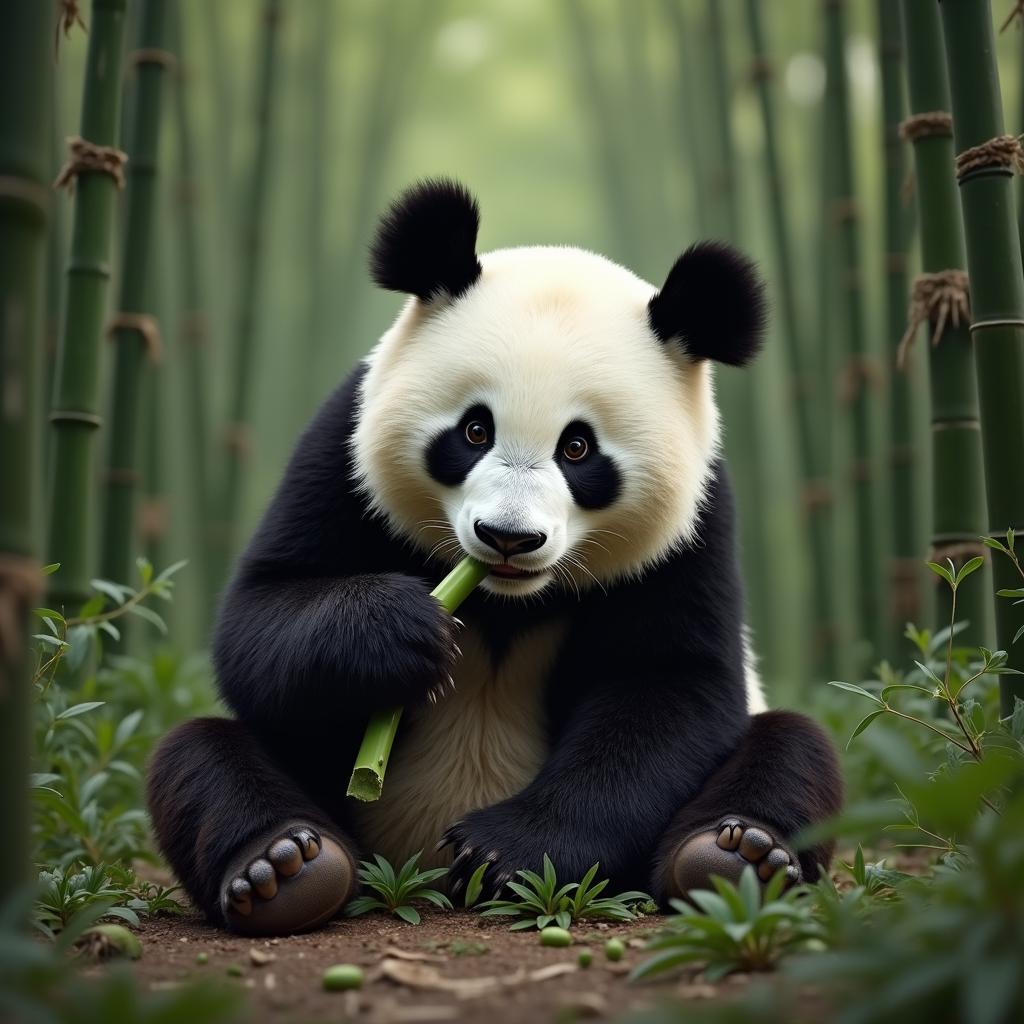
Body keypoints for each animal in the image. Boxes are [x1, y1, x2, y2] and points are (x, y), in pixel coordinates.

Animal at [148, 179, 842, 936]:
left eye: (578, 448)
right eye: (474, 430)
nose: (508, 537)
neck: (504, 600)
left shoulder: (697, 520)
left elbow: (669, 682)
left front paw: (504, 850)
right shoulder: (341, 445)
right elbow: (263, 608)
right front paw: (401, 631)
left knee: (795, 748)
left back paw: (736, 854)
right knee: (199, 756)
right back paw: (283, 864)